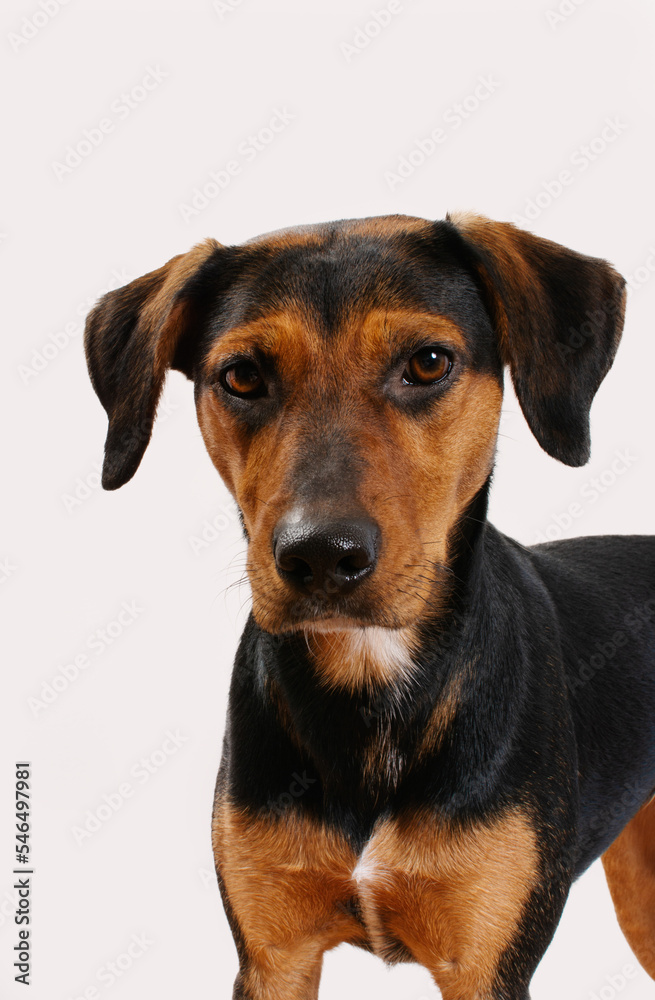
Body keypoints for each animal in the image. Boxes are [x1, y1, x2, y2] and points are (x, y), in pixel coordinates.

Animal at [84, 213, 655, 1000]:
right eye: (241, 376)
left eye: (428, 362)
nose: (320, 555)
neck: (372, 683)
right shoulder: (273, 955)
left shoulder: (486, 966)